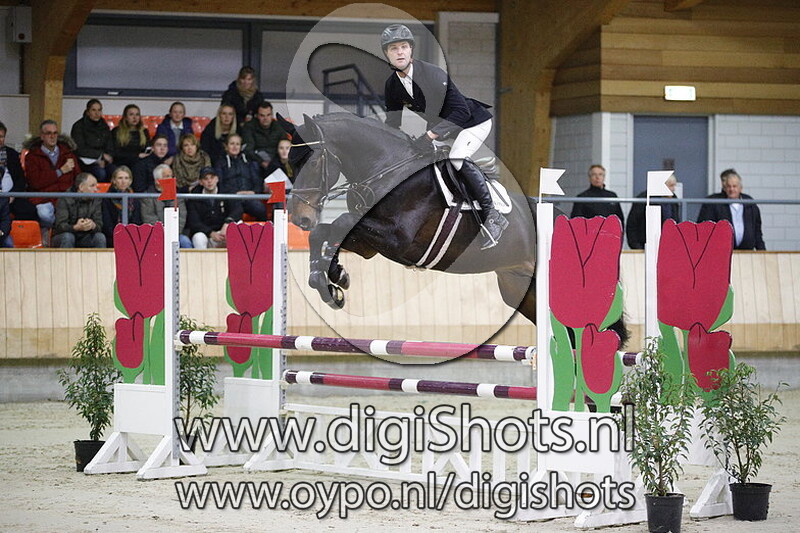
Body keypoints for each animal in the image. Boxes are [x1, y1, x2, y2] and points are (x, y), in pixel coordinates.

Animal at [282, 112, 628, 346]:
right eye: (290, 163)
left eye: (311, 162)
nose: (299, 218)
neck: (388, 169)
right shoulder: (370, 245)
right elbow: (325, 233)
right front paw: (328, 280)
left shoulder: (400, 239)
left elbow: (339, 223)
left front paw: (334, 276)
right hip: (521, 288)